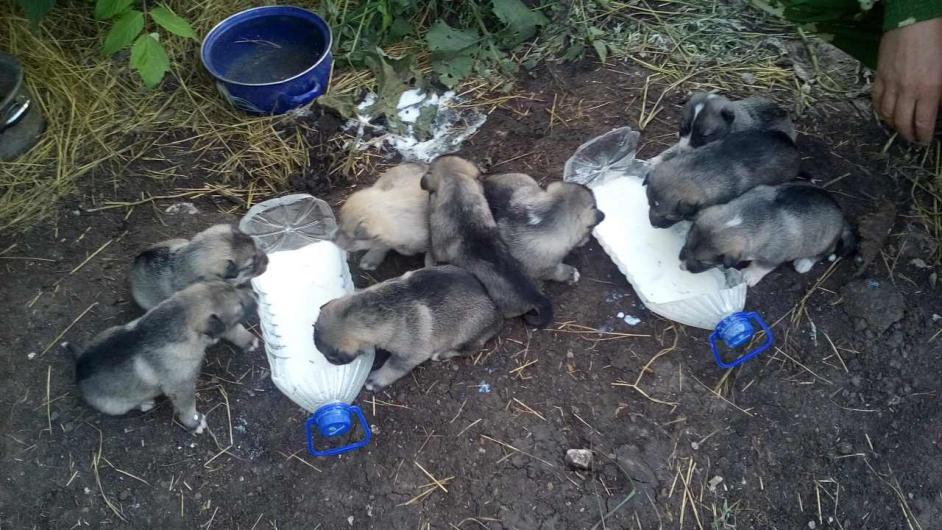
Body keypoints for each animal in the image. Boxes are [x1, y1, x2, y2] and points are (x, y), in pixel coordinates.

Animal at [71, 282, 257, 432]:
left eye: (235, 287)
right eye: (240, 306)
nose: (255, 294)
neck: (180, 317)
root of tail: (79, 366)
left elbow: (232, 329)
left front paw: (246, 340)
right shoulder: (181, 387)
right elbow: (187, 406)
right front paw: (194, 423)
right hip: (114, 405)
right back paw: (144, 403)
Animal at [314, 266, 502, 391]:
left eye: (331, 356)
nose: (329, 362)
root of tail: (496, 314)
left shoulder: (409, 355)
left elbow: (392, 367)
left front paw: (377, 380)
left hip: (465, 332)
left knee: (470, 348)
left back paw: (442, 354)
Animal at [679, 182, 857, 286]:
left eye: (703, 262)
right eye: (685, 244)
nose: (681, 267)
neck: (740, 220)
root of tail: (842, 215)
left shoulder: (774, 257)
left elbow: (760, 266)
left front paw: (749, 275)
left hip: (822, 242)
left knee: (825, 252)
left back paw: (804, 263)